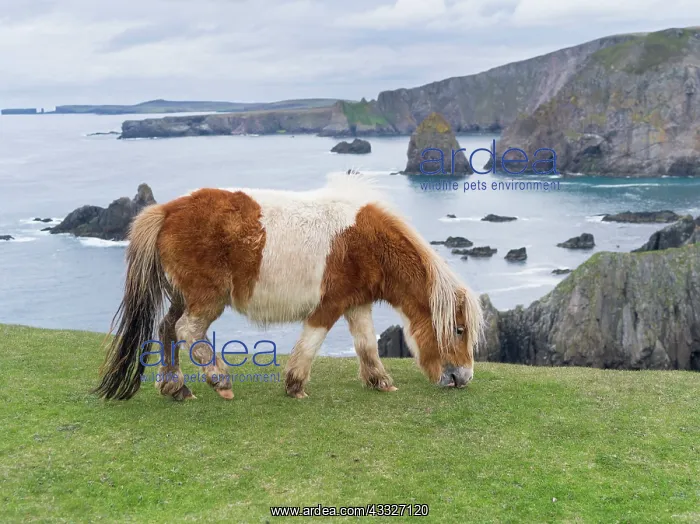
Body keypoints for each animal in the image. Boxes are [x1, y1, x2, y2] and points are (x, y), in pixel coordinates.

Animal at [94, 173, 483, 401]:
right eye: (459, 329)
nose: (463, 378)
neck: (367, 242)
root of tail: (167, 211)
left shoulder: (356, 303)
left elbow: (366, 345)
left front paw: (380, 381)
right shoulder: (330, 304)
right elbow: (311, 342)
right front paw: (295, 384)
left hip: (181, 295)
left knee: (167, 328)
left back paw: (174, 386)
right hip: (207, 297)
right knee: (187, 329)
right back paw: (219, 379)